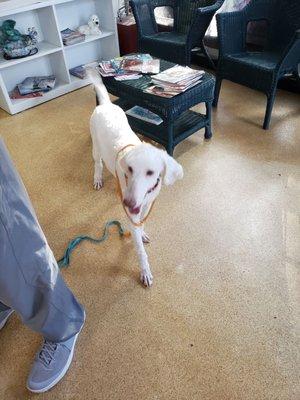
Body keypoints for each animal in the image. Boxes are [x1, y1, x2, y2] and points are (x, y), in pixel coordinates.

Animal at [88, 69, 184, 288]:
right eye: (129, 170)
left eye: (150, 173)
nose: (128, 203)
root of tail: (105, 104)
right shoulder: (132, 212)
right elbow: (140, 249)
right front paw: (144, 270)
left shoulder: (147, 204)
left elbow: (142, 223)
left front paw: (143, 232)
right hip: (95, 145)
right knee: (97, 163)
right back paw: (98, 177)